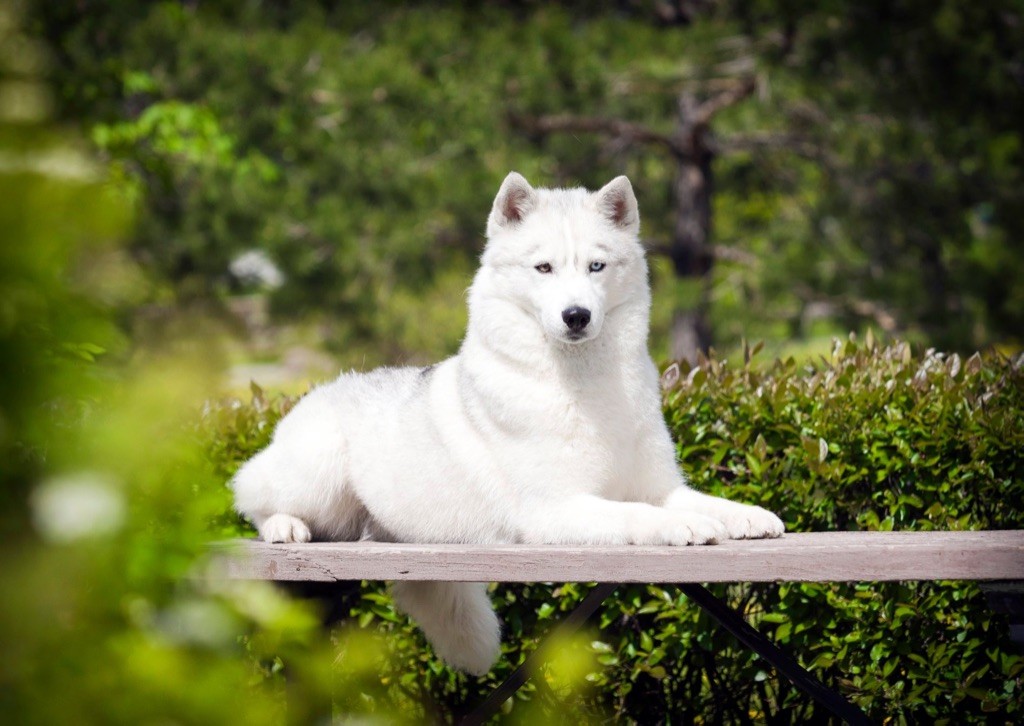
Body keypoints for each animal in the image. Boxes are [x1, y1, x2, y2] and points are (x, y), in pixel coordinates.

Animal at [232, 172, 784, 675]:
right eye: (543, 268)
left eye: (596, 266)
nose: (577, 316)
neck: (584, 386)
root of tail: (321, 389)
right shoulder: (556, 508)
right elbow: (638, 516)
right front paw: (686, 525)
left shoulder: (659, 487)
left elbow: (697, 501)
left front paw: (746, 515)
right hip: (317, 472)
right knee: (249, 493)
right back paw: (284, 526)